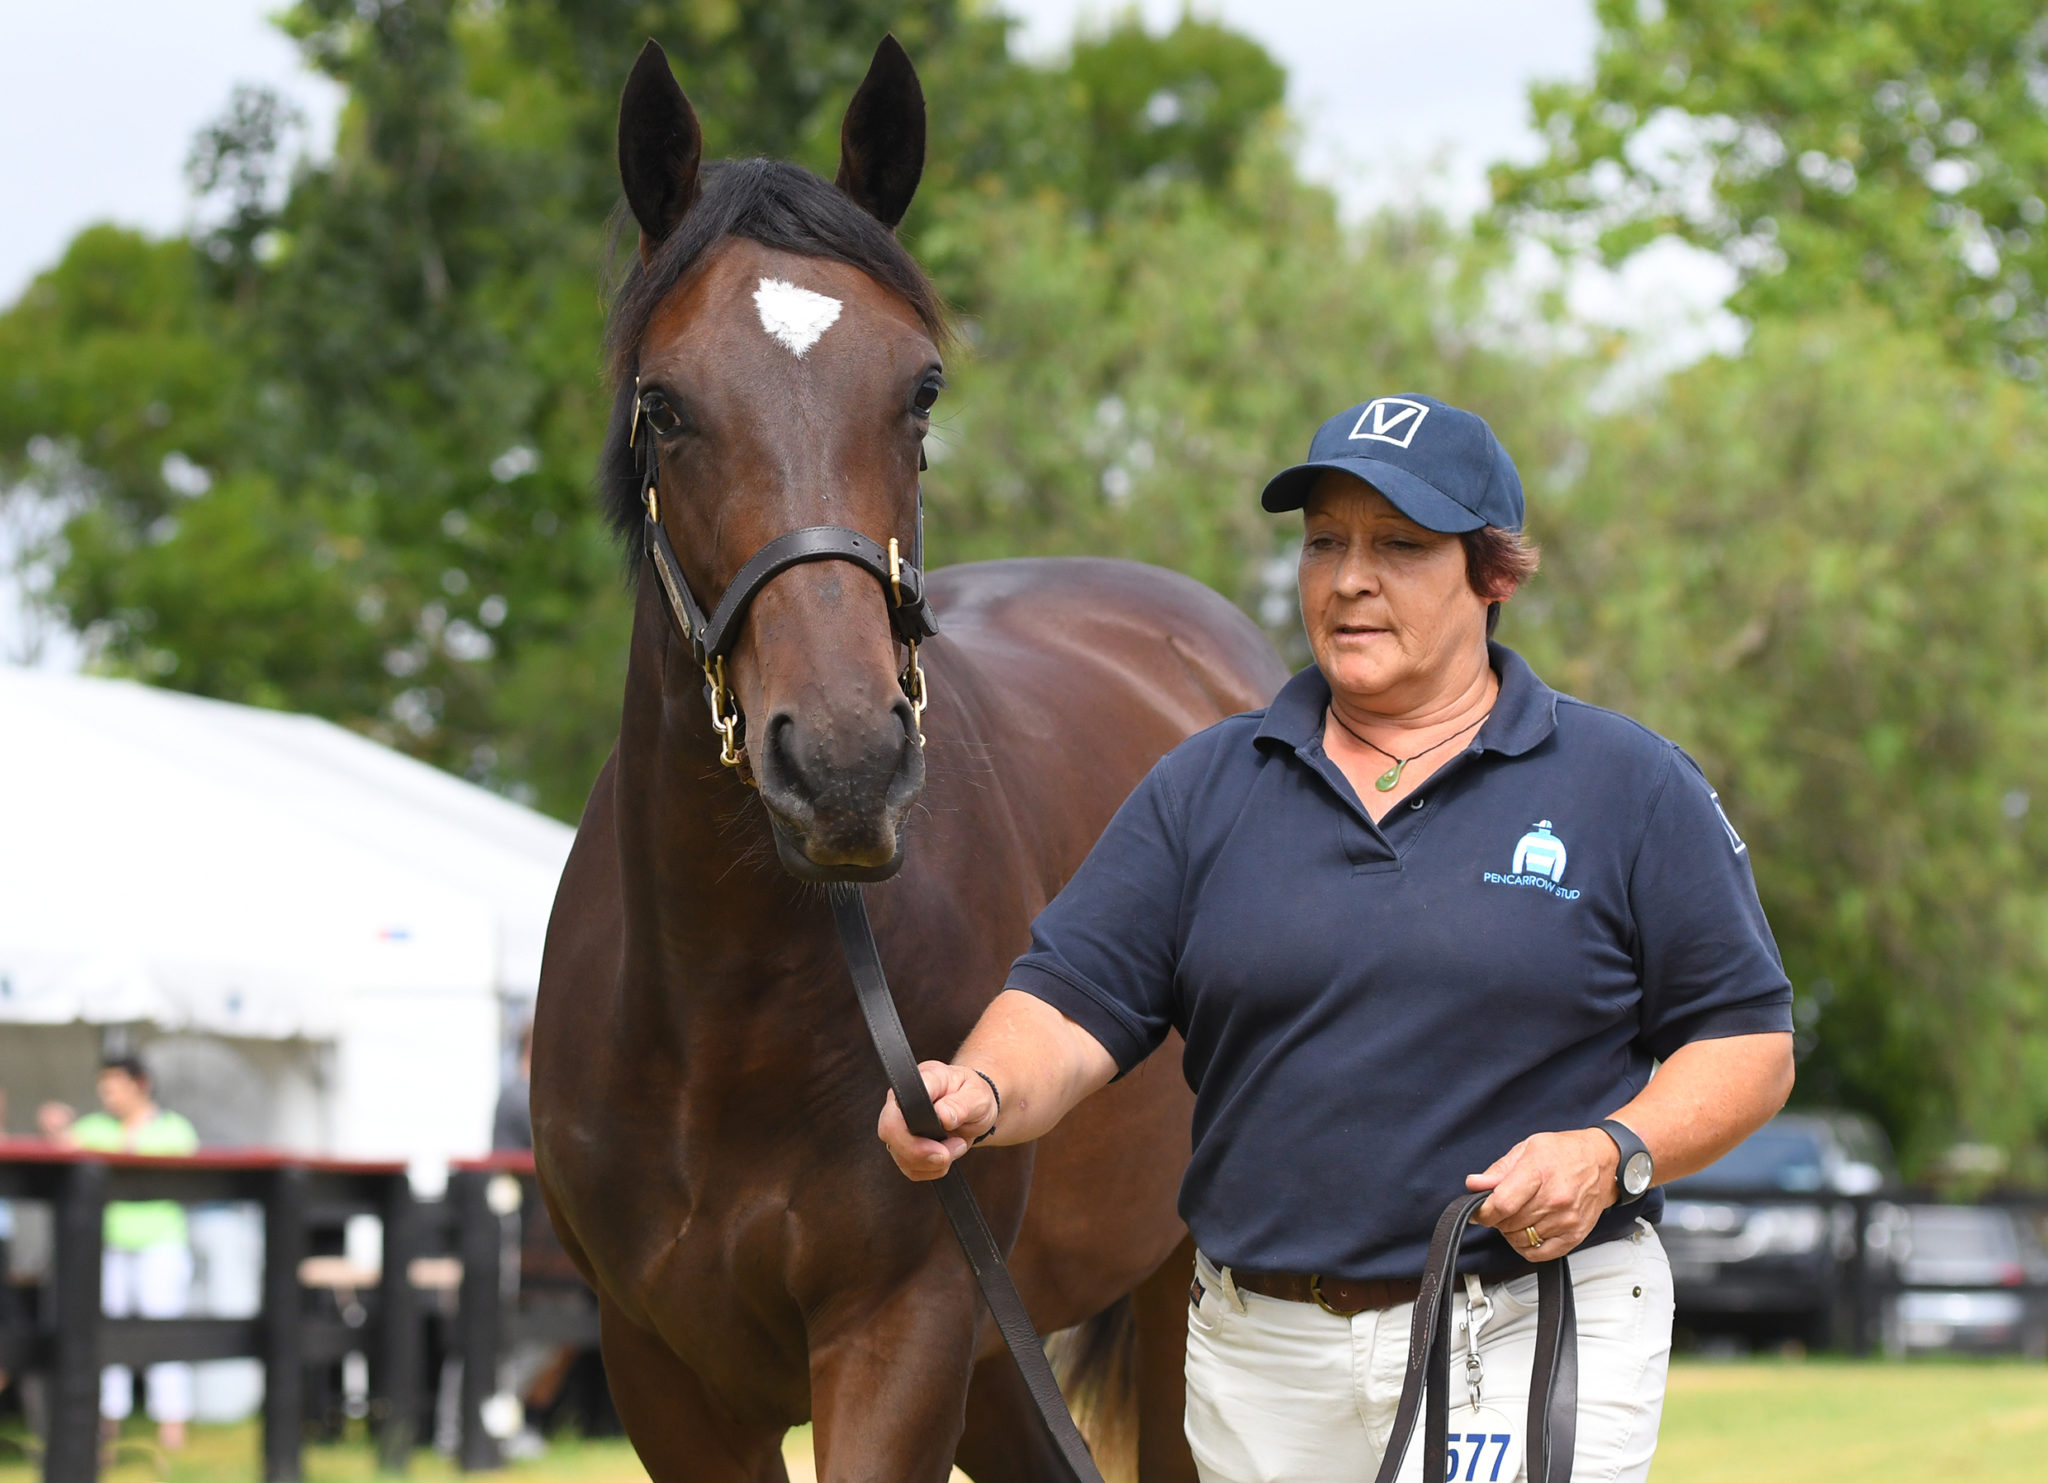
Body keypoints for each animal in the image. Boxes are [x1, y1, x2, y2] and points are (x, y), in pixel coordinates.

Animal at [536, 34, 1286, 1483]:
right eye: (665, 404)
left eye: (920, 391)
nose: (840, 763)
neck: (721, 1016)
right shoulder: (664, 1372)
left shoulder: (903, 1329)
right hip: (1006, 1356)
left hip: (1170, 1305)